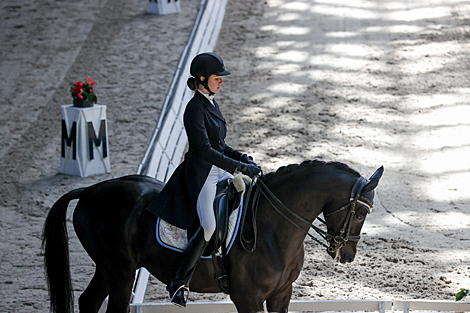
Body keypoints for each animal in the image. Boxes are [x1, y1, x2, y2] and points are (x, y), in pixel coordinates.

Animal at [42, 160, 384, 310]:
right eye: (360, 213)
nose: (347, 254)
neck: (273, 228)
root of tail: (90, 191)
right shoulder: (247, 297)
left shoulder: (281, 293)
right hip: (121, 272)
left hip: (108, 268)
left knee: (88, 301)